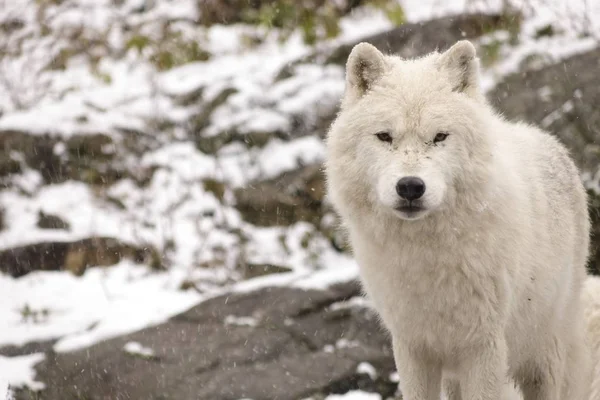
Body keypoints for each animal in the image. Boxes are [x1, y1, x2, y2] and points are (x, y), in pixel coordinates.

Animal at [324, 41, 592, 400]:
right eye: (384, 136)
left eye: (439, 137)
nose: (410, 187)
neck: (424, 257)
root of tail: (552, 142)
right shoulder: (412, 348)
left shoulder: (483, 349)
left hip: (544, 355)